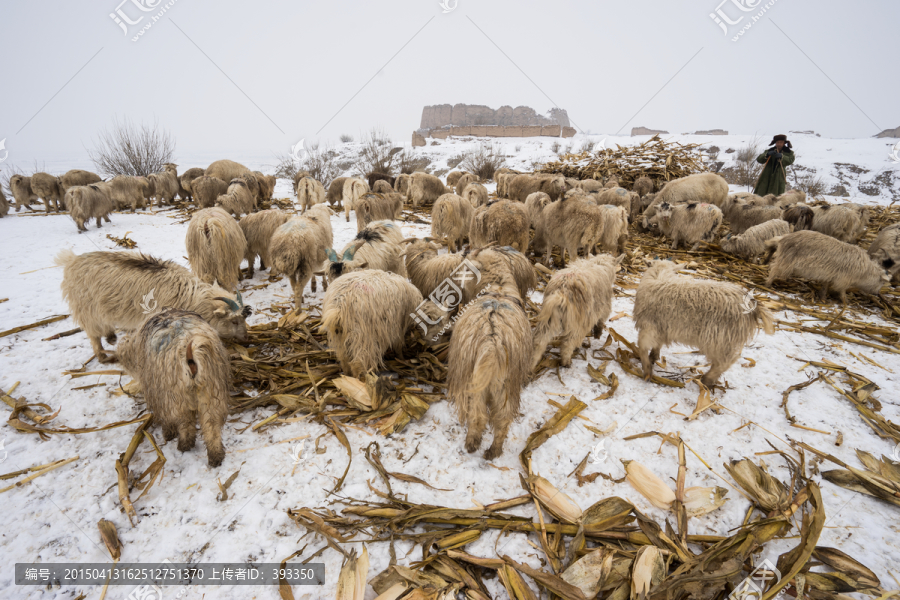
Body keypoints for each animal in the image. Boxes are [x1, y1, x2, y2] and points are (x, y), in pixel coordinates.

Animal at [55, 250, 253, 364]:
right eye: (234, 321)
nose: (246, 338)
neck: (190, 296)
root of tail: (71, 261)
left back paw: (111, 337)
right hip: (87, 311)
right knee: (93, 335)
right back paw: (102, 356)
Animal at [118, 310, 230, 468]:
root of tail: (191, 349)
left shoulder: (158, 393)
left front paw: (168, 433)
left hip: (176, 395)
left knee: (185, 423)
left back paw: (184, 444)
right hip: (211, 390)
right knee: (211, 425)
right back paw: (216, 456)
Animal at [444, 276, 532, 460]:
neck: (499, 290)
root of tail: (492, 342)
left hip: (474, 385)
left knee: (477, 416)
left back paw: (471, 444)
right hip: (505, 387)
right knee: (503, 420)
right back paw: (494, 451)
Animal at [632, 260, 772, 386]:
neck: (659, 275)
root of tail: (753, 307)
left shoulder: (650, 326)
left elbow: (642, 346)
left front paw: (647, 371)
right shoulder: (662, 327)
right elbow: (657, 345)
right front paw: (653, 357)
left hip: (720, 340)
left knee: (724, 362)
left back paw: (706, 380)